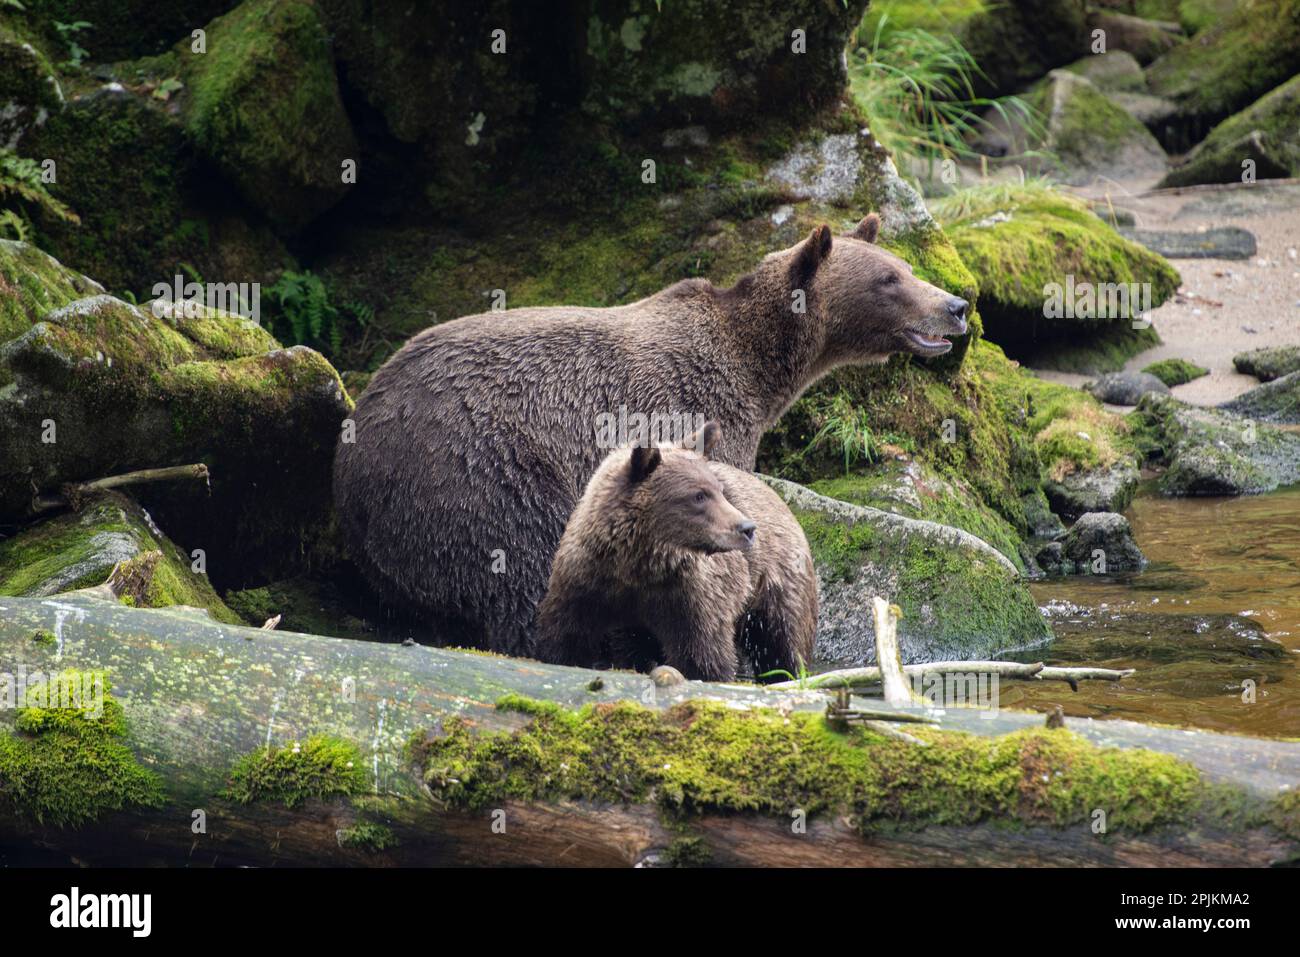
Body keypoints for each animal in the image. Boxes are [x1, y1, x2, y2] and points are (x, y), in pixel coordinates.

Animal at [335, 213, 967, 655]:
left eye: (906, 267)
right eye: (889, 279)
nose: (957, 304)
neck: (758, 368)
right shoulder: (697, 410)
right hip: (481, 471)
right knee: (520, 568)